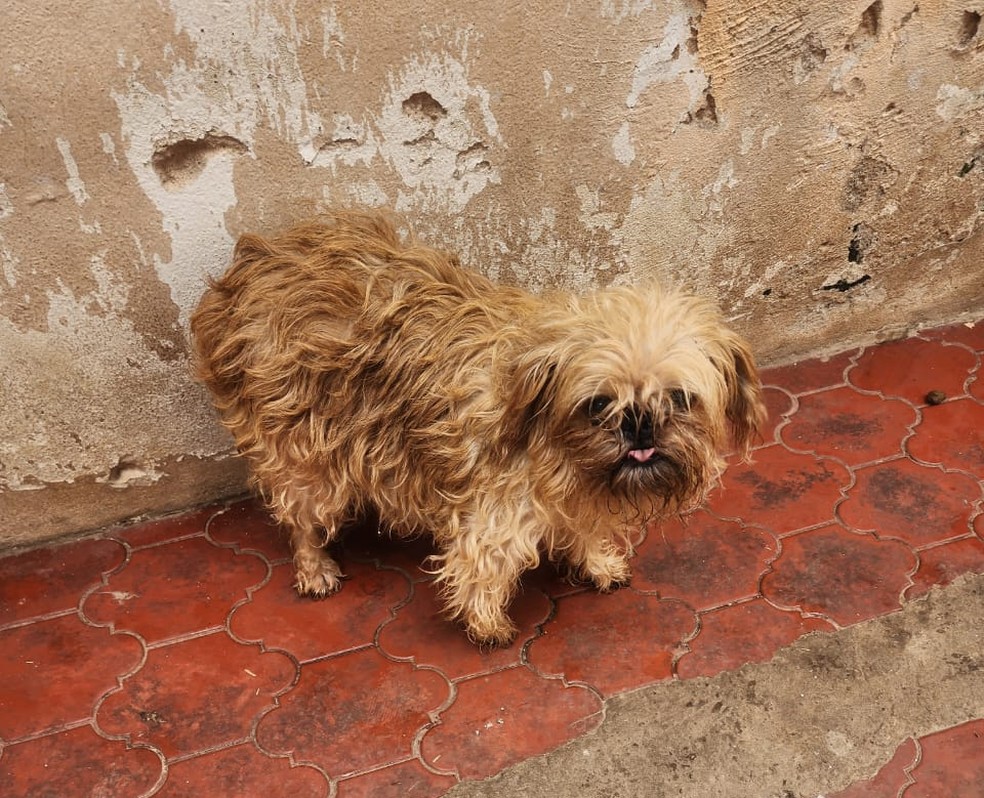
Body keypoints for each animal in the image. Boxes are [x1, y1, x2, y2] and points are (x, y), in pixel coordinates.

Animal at [188, 209, 764, 648]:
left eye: (680, 399)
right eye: (598, 403)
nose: (639, 427)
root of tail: (253, 266)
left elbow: (582, 528)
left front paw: (597, 561)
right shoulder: (495, 513)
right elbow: (480, 567)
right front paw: (487, 624)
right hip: (303, 450)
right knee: (301, 514)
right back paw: (314, 567)